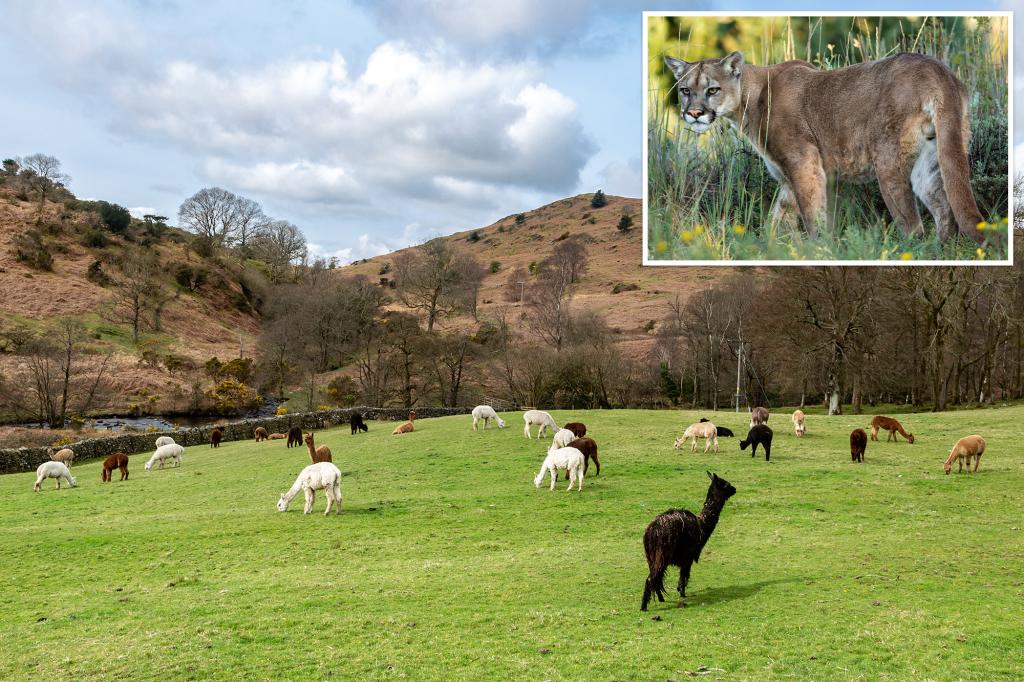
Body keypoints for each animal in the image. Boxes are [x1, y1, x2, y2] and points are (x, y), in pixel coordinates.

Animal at [663, 51, 986, 243]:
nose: (694, 113)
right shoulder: (787, 178)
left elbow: (812, 216)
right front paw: (770, 250)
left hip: (888, 160)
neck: (749, 101)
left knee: (913, 225)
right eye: (685, 90)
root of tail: (937, 69)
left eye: (712, 89)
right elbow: (777, 219)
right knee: (945, 208)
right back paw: (942, 248)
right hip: (933, 158)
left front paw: (819, 249)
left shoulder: (804, 164)